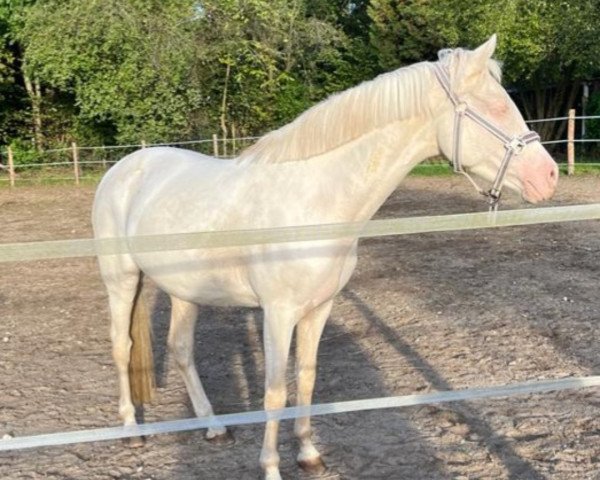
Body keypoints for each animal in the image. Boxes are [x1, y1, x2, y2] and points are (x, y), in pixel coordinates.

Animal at [94, 37, 556, 480]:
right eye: (496, 106)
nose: (548, 177)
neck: (314, 201)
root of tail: (125, 166)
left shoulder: (319, 308)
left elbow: (307, 378)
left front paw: (309, 455)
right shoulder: (278, 313)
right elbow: (275, 391)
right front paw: (271, 468)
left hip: (184, 291)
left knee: (181, 350)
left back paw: (214, 427)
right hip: (122, 279)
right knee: (121, 346)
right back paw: (132, 430)